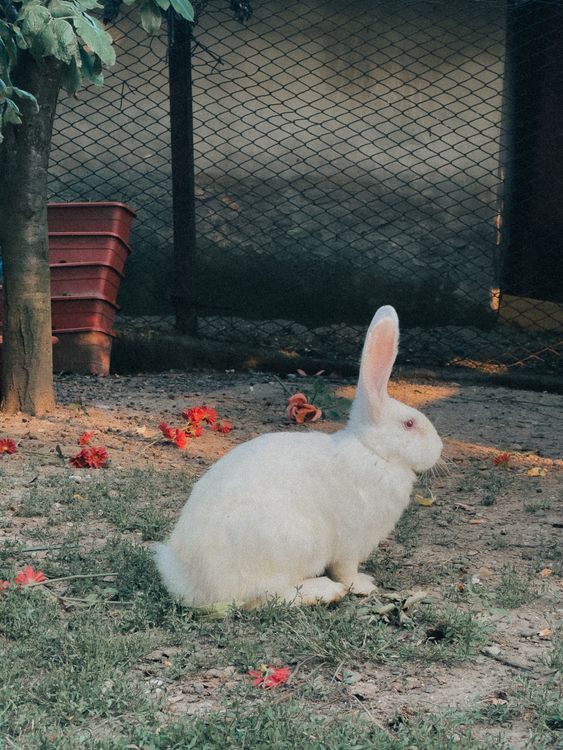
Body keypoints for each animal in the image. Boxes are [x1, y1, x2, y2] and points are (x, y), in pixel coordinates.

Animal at [155, 305, 443, 608]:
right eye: (409, 424)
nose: (439, 448)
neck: (372, 450)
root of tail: (191, 584)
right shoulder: (351, 543)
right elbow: (346, 571)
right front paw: (364, 585)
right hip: (293, 543)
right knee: (269, 596)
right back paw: (324, 591)